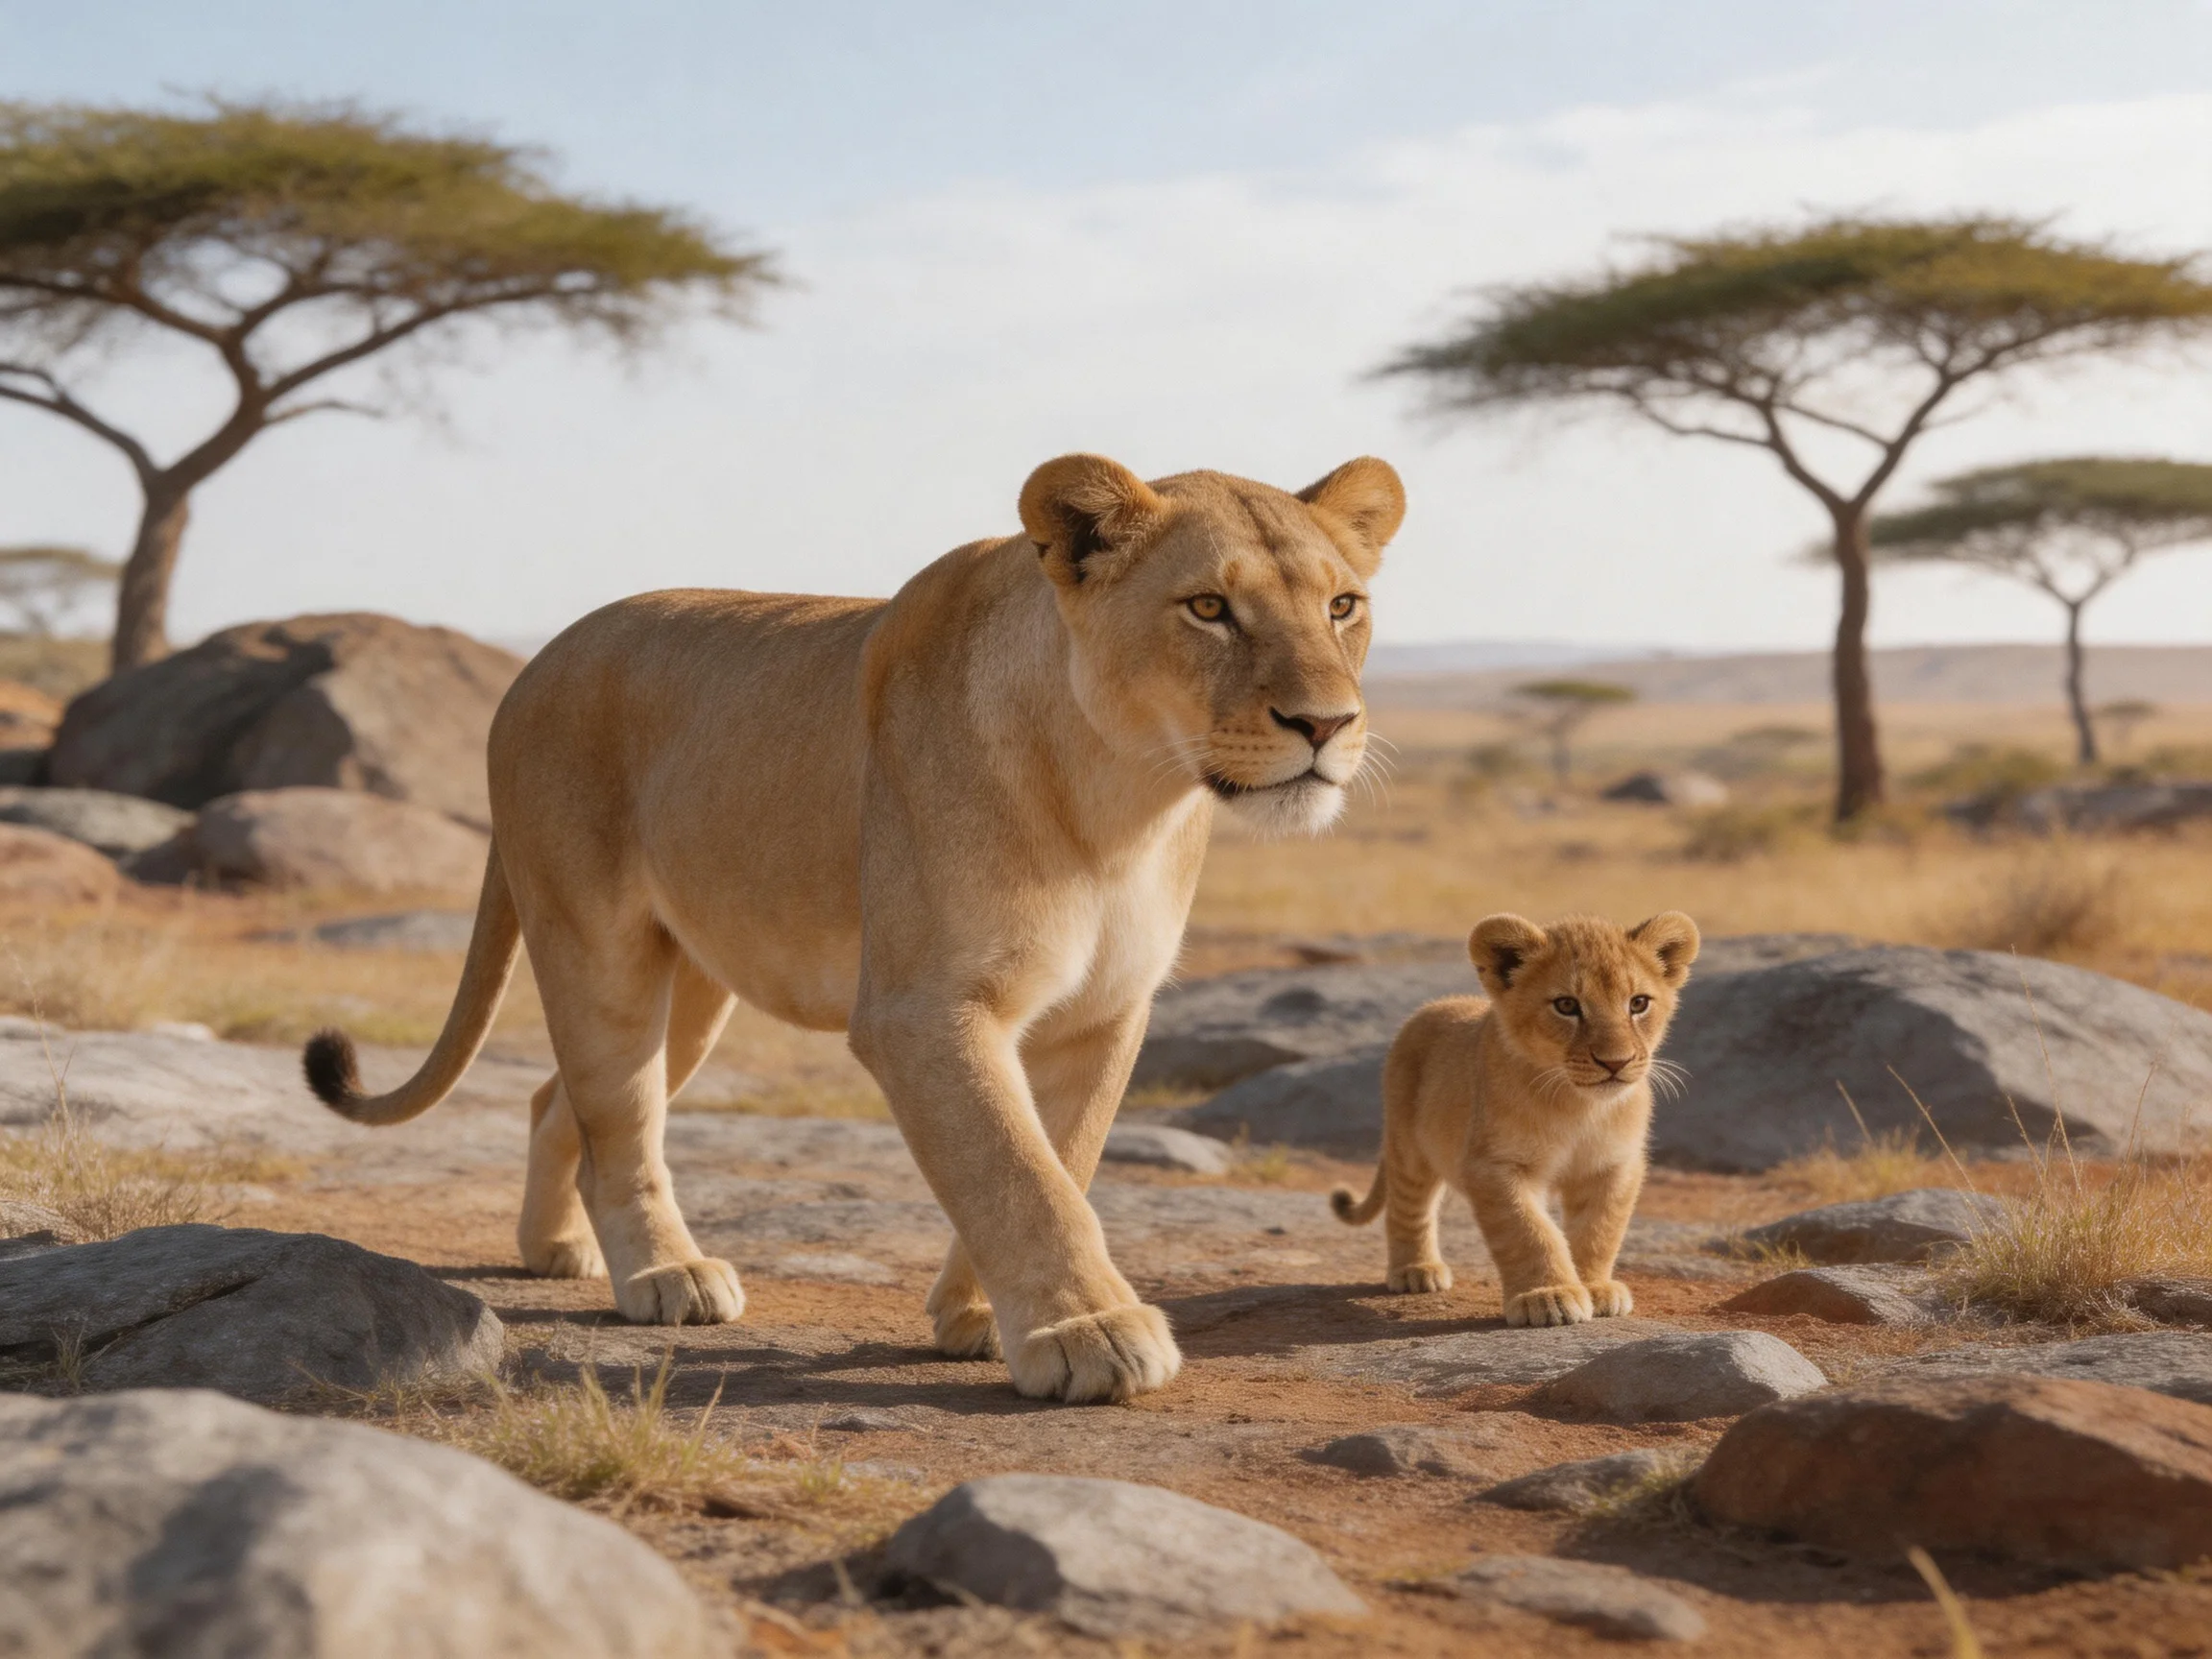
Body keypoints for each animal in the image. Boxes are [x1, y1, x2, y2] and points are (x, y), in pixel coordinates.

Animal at [302, 452, 1405, 1403]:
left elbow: (1063, 1156)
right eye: (1209, 608)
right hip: (598, 945)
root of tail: (531, 666)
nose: (1327, 726)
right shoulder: (923, 1008)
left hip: (693, 983)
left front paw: (978, 1318)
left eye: (1342, 605)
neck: (1122, 800)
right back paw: (663, 1275)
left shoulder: (1105, 1010)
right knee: (621, 1118)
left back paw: (557, 1249)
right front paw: (1087, 1332)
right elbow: (1016, 1171)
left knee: (555, 1101)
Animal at [1330, 911, 1699, 1326]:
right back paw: (1415, 1271)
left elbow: (1599, 1229)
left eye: (1638, 1003)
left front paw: (1595, 1287)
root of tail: (1433, 1006)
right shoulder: (1494, 1165)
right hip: (1408, 1145)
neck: (1578, 1106)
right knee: (1408, 1206)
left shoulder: (1614, 1164)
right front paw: (1549, 1296)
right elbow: (1529, 1231)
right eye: (1566, 1005)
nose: (1615, 1062)